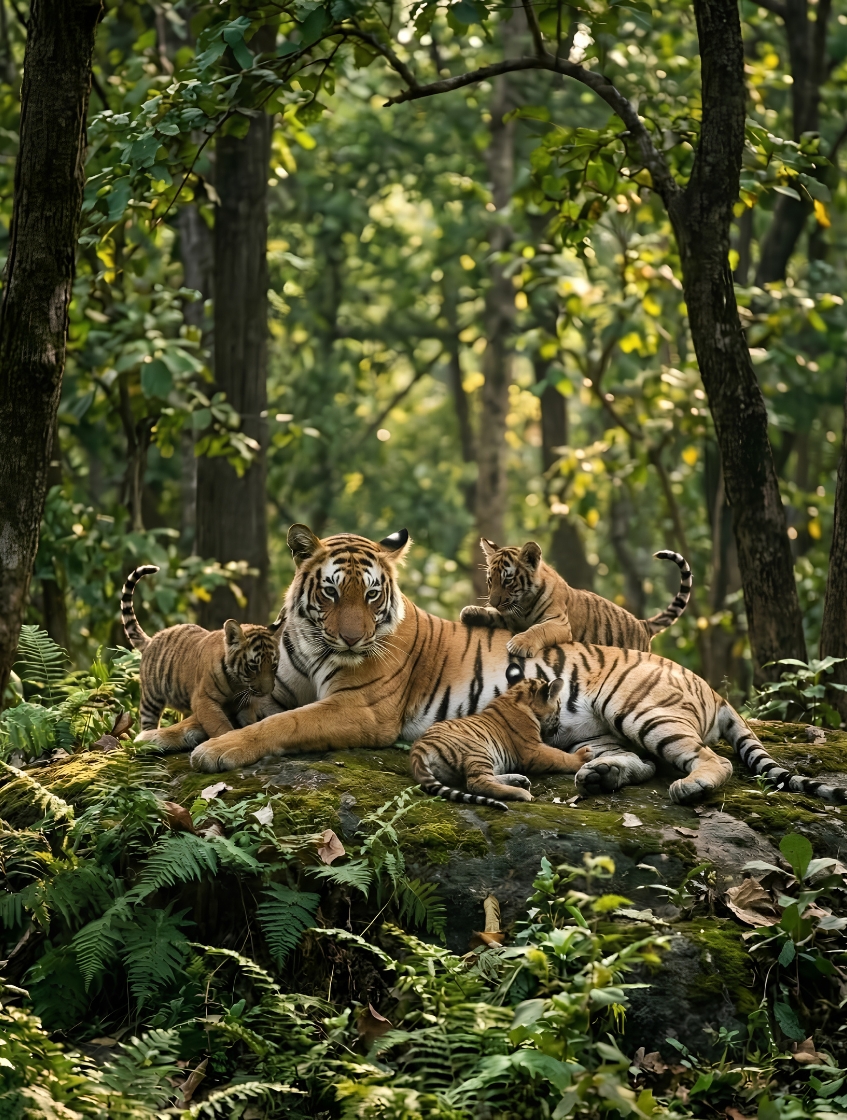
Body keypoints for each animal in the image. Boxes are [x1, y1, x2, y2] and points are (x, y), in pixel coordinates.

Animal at [120, 565, 280, 750]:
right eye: (253, 666)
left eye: (273, 665)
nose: (267, 692)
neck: (238, 683)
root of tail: (151, 640)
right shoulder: (204, 701)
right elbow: (220, 726)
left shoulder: (244, 703)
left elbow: (248, 721)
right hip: (151, 699)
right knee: (147, 722)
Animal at [410, 676, 592, 810]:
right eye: (559, 708)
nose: (557, 728)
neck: (516, 696)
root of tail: (418, 748)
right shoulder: (532, 750)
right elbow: (559, 756)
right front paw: (583, 756)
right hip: (477, 750)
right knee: (477, 783)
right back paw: (521, 792)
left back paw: (519, 780)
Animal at [460, 539, 692, 658]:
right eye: (491, 581)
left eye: (507, 580)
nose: (494, 601)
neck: (523, 605)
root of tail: (642, 624)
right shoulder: (510, 617)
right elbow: (494, 615)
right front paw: (471, 611)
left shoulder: (559, 623)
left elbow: (537, 629)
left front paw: (520, 643)